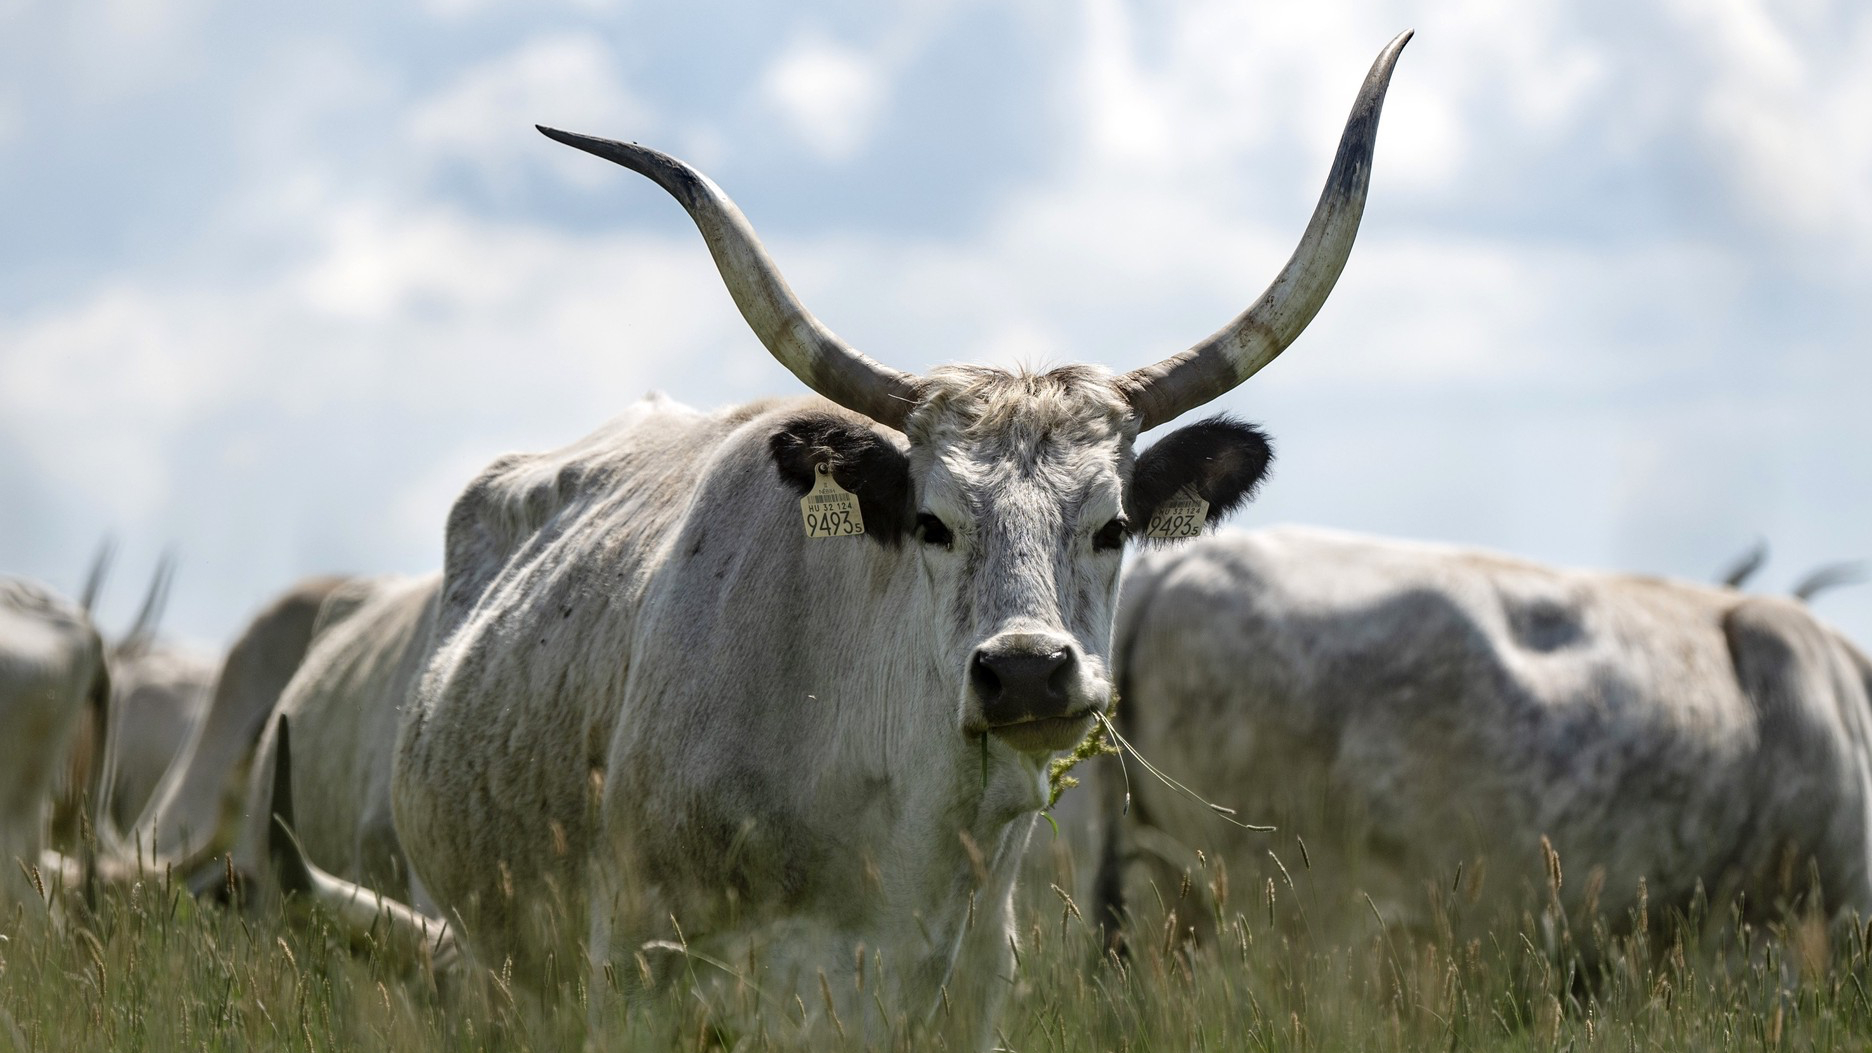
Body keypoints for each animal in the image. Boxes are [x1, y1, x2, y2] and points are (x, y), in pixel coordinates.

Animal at [264, 33, 1411, 1045]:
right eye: (932, 522)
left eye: (1115, 524)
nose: (1026, 672)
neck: (892, 832)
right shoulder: (635, 976)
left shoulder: (970, 990)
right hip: (481, 964)